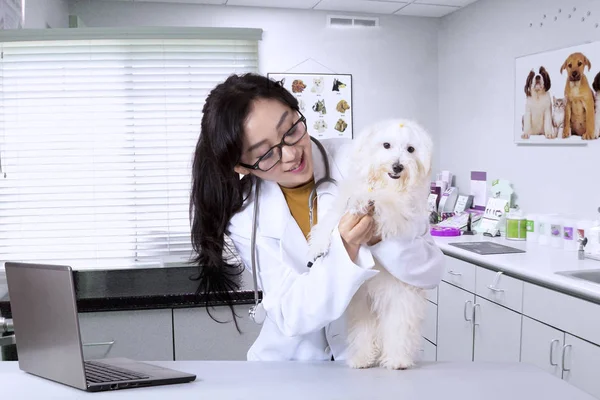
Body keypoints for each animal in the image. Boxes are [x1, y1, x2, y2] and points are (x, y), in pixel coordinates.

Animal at [310, 119, 432, 372]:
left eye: (411, 149)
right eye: (386, 145)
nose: (397, 166)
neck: (385, 184)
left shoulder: (400, 214)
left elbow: (385, 205)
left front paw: (367, 201)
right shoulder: (342, 204)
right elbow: (330, 220)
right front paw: (317, 245)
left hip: (401, 303)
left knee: (399, 332)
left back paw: (397, 360)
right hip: (361, 304)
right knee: (363, 332)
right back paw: (361, 359)